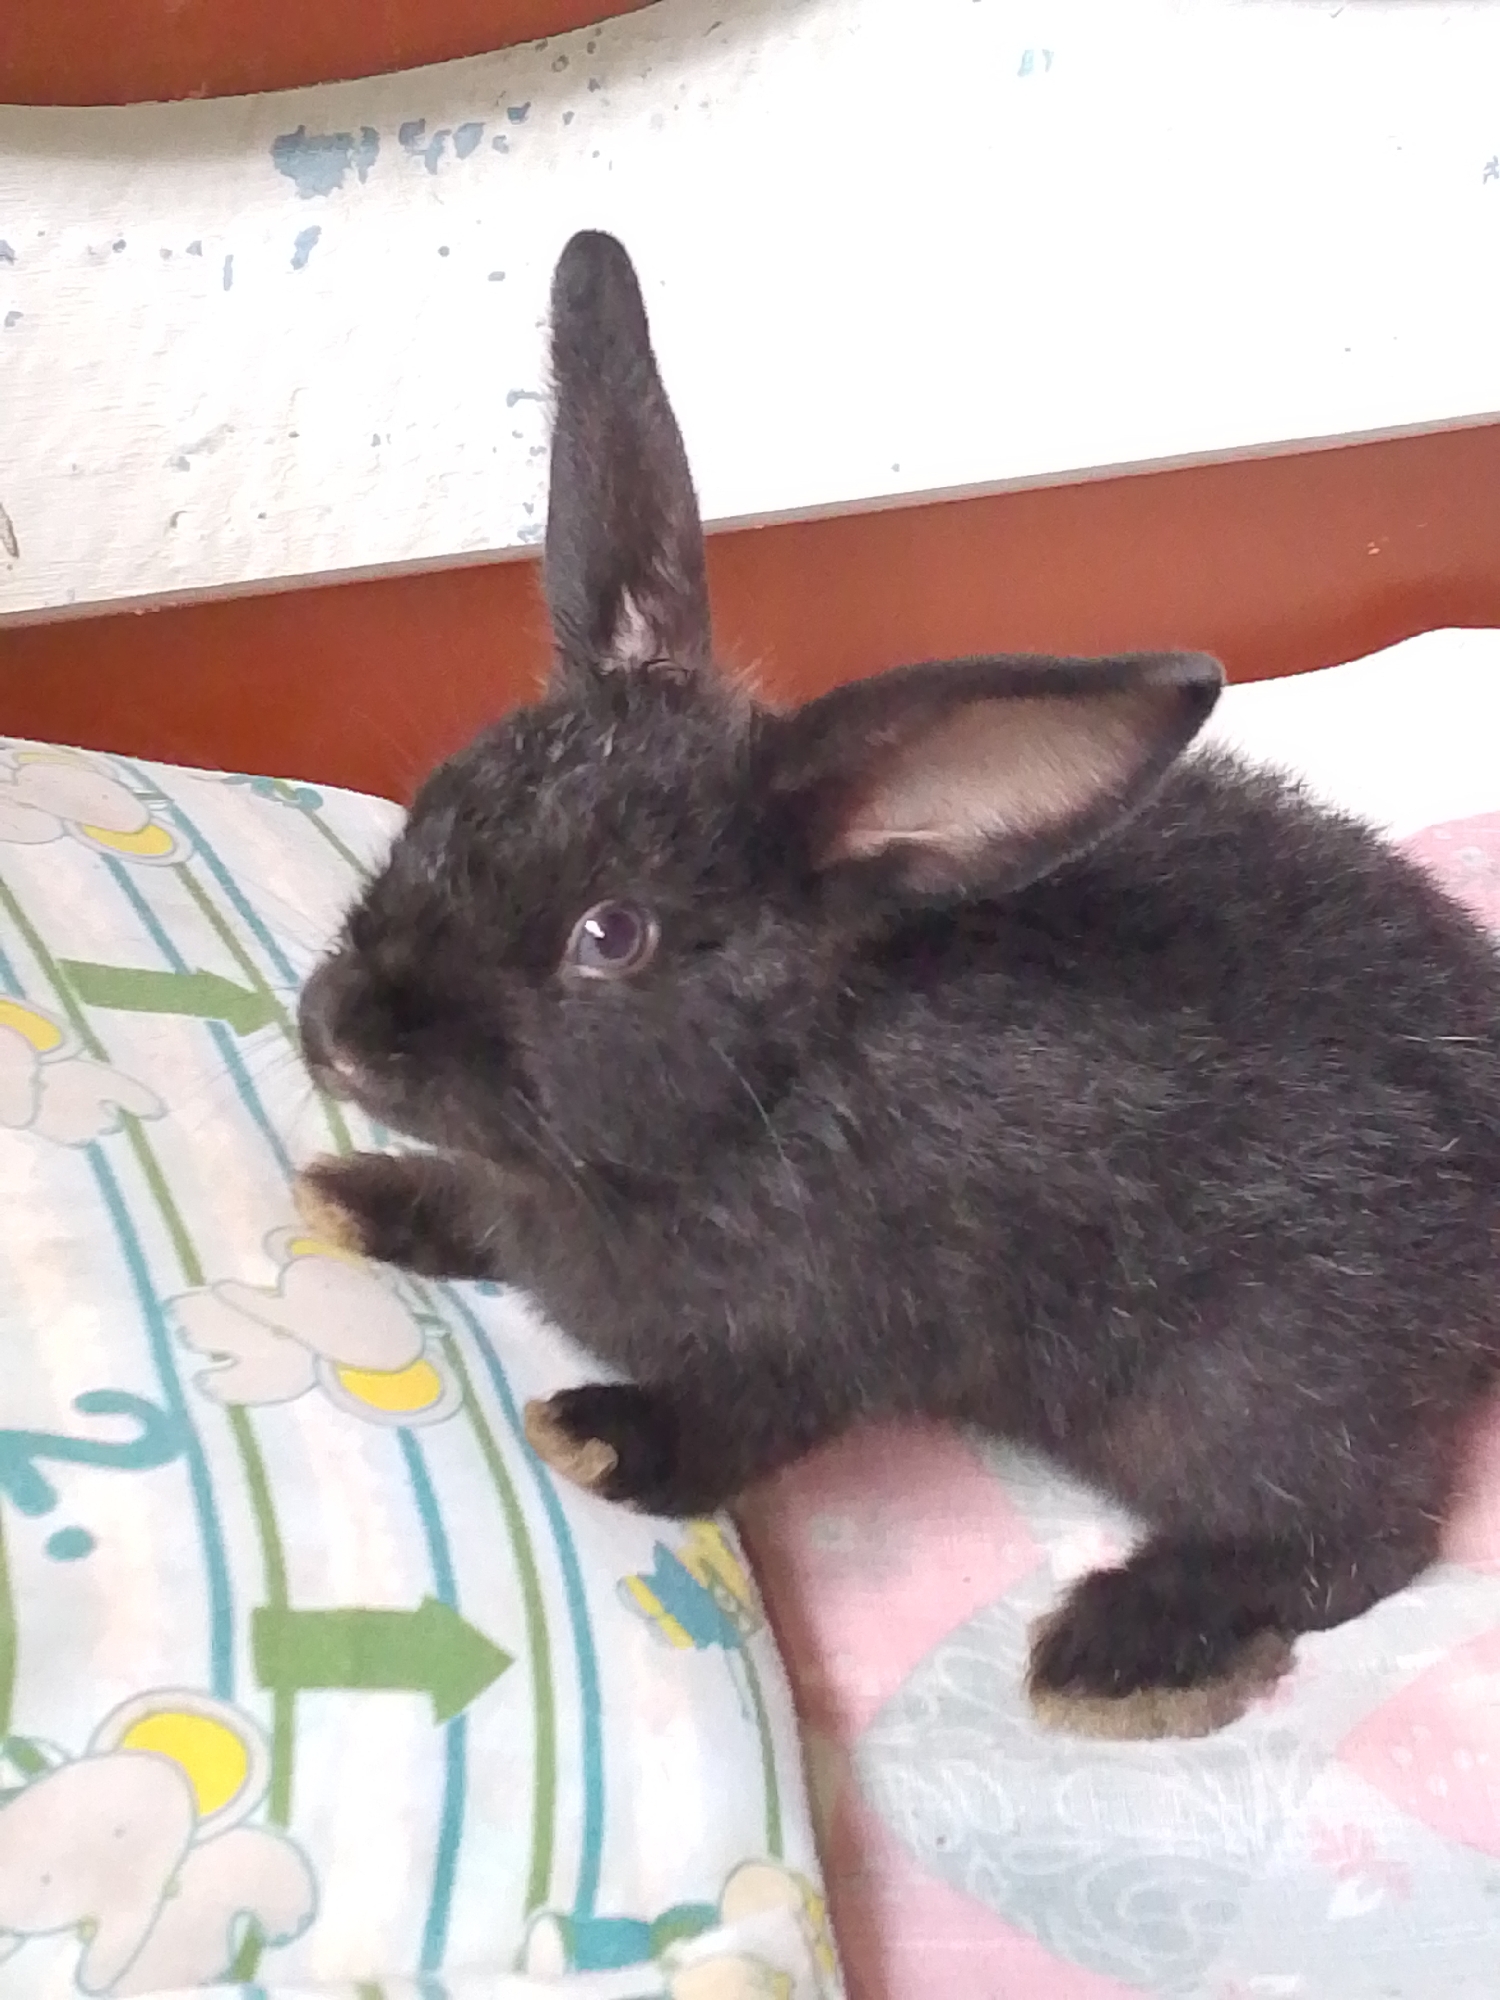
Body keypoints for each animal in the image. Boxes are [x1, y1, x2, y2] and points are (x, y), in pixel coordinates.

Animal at [294, 229, 1500, 1739]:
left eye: (611, 934)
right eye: (444, 796)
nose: (333, 1035)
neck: (767, 1086)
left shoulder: (839, 1333)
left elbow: (751, 1422)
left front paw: (601, 1436)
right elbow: (469, 1208)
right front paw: (354, 1197)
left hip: (1258, 1374)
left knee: (1360, 1532)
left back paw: (1121, 1650)